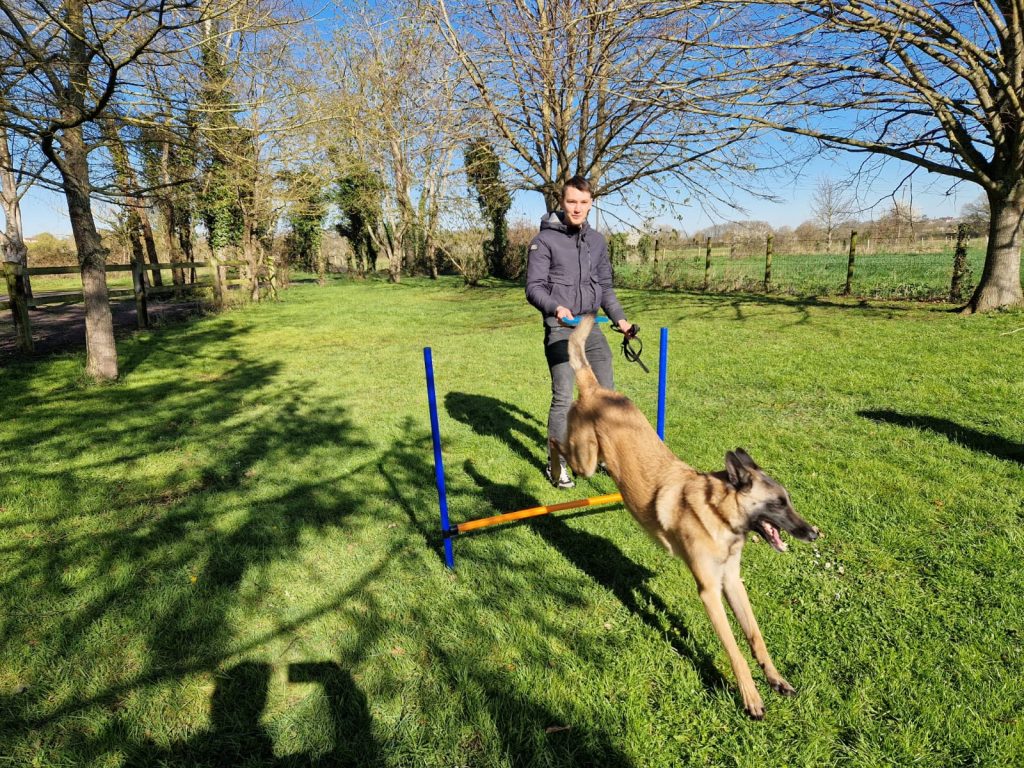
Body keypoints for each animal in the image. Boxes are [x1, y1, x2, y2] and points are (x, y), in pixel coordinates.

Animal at [548, 313, 819, 720]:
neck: (718, 514)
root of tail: (596, 389)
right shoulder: (709, 592)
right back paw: (554, 470)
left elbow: (755, 636)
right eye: (778, 503)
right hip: (585, 459)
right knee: (555, 442)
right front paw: (751, 697)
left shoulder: (732, 582)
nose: (813, 532)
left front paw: (775, 679)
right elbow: (735, 651)